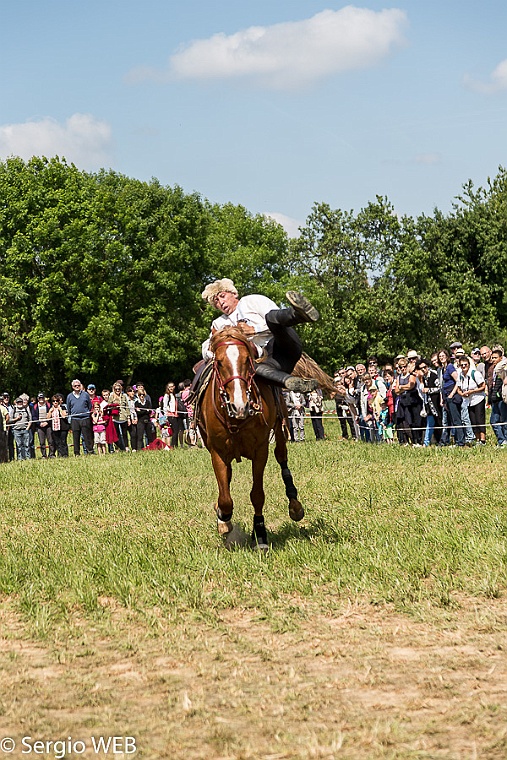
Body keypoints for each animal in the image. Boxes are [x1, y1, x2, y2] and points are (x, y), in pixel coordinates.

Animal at [196, 326, 304, 548]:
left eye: (247, 360)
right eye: (219, 362)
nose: (240, 405)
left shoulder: (260, 450)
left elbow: (257, 495)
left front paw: (260, 533)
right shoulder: (217, 453)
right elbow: (225, 498)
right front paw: (223, 519)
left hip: (280, 428)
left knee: (282, 457)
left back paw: (295, 505)